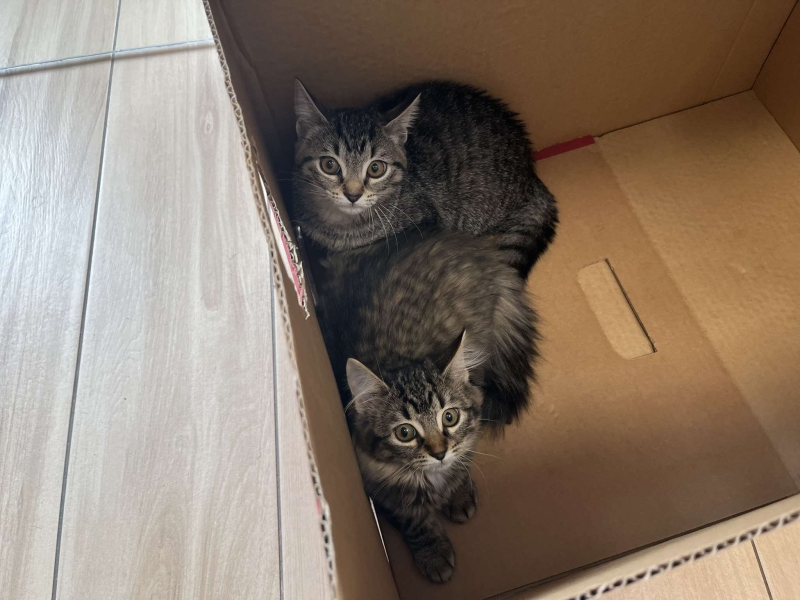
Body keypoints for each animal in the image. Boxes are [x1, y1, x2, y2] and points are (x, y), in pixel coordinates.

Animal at [314, 232, 539, 582]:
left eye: (450, 416)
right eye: (404, 432)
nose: (439, 452)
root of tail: (479, 251)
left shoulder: (469, 429)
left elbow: (462, 461)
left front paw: (458, 493)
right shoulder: (377, 485)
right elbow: (412, 519)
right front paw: (433, 552)